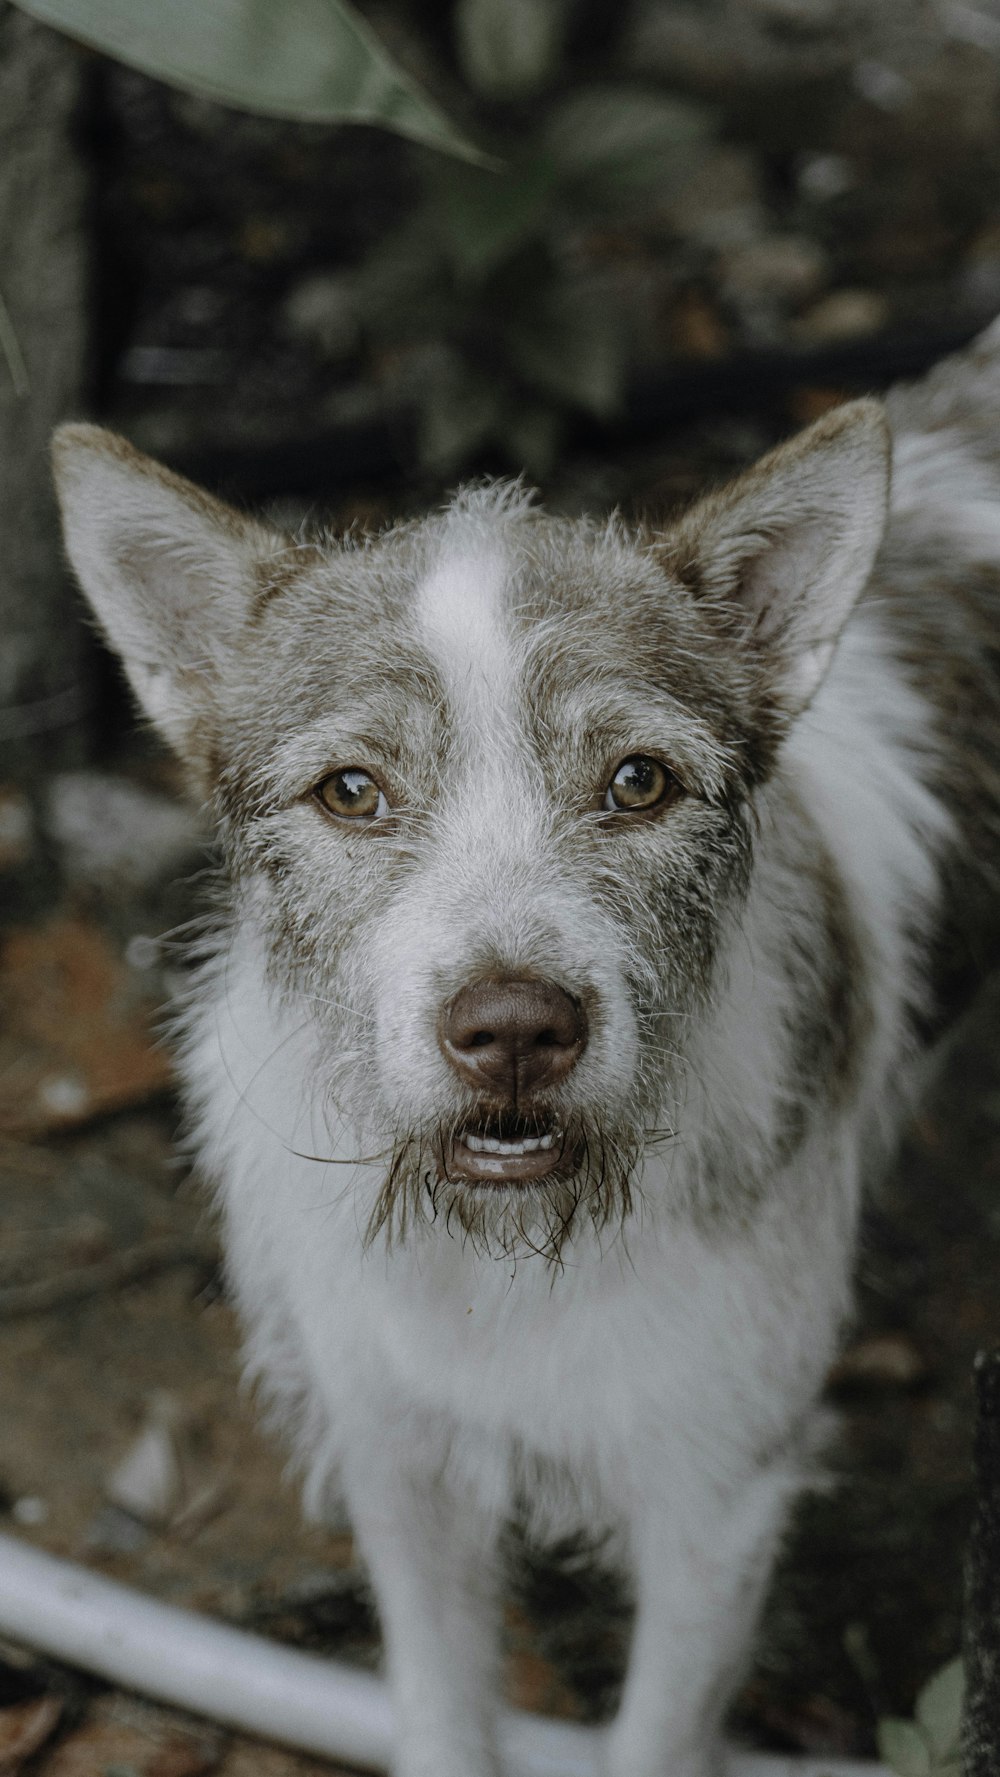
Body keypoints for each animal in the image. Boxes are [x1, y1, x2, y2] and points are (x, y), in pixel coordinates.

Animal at [50, 323, 1000, 1777]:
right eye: (351, 791)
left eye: (639, 782)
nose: (513, 1030)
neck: (507, 1255)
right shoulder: (397, 1458)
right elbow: (443, 1707)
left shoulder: (715, 1499)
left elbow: (658, 1738)